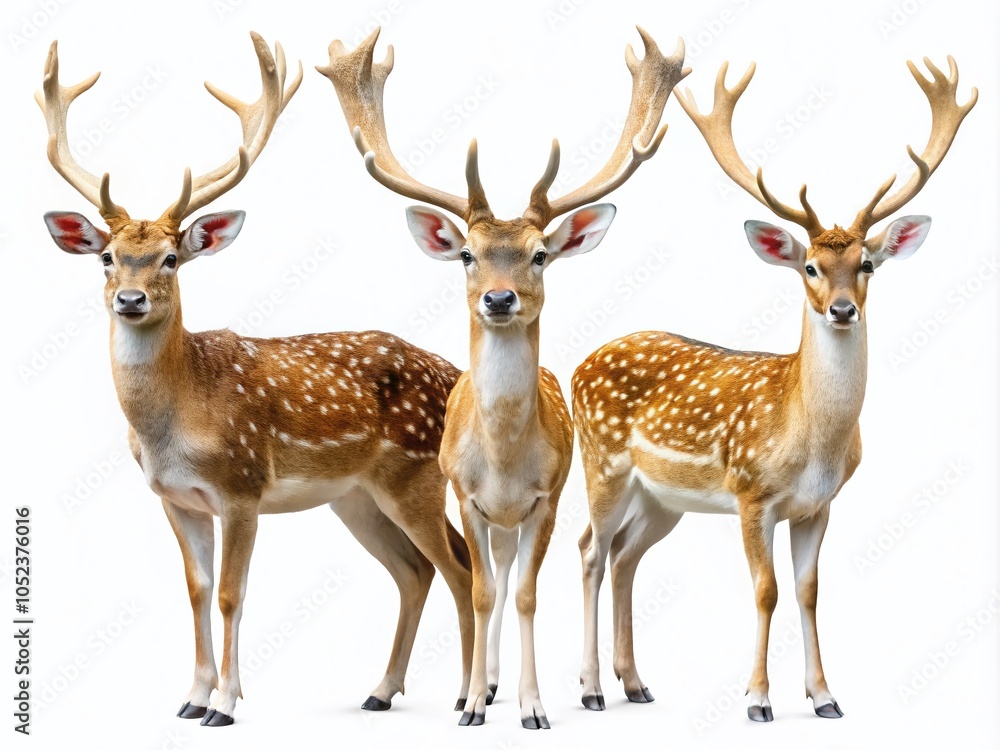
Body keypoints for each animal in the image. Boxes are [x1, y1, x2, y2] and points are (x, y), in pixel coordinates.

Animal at [39, 33, 475, 727]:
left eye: (171, 258)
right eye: (106, 257)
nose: (131, 299)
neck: (176, 423)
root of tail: (456, 375)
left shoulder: (242, 487)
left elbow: (230, 593)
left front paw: (224, 704)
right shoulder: (173, 498)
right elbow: (195, 591)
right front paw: (190, 698)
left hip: (418, 478)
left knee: (459, 567)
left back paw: (465, 696)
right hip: (357, 497)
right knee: (413, 572)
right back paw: (379, 691)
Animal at [318, 26, 689, 729]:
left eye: (540, 255)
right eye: (468, 253)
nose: (498, 298)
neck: (505, 462)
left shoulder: (547, 497)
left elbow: (524, 595)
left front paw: (534, 707)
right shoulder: (465, 495)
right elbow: (485, 592)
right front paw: (469, 705)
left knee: (511, 570)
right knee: (483, 574)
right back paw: (480, 685)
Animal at [573, 56, 976, 722]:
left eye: (867, 264)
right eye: (809, 265)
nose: (842, 309)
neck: (809, 440)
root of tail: (583, 360)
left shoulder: (820, 504)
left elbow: (809, 591)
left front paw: (825, 696)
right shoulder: (750, 492)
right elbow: (766, 590)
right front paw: (758, 699)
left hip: (661, 500)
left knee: (628, 556)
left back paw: (635, 683)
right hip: (601, 462)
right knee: (589, 551)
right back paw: (590, 689)